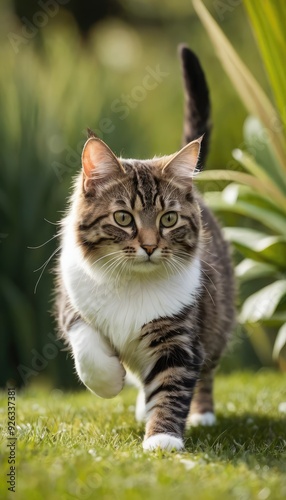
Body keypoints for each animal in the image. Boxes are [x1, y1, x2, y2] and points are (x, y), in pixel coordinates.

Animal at [55, 46, 235, 454]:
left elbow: (173, 382)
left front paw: (162, 438)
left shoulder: (181, 335)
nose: (150, 246)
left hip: (217, 318)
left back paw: (201, 413)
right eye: (124, 218)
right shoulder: (72, 300)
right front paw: (110, 380)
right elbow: (86, 349)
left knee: (207, 367)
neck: (131, 282)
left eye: (168, 219)